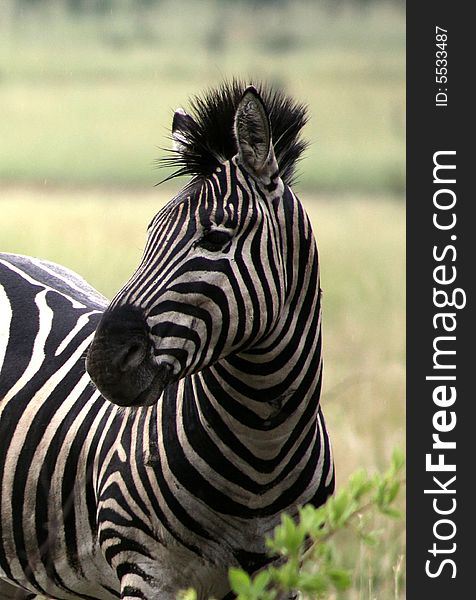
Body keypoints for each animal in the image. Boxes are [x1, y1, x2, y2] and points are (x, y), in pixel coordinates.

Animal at [0, 82, 334, 600]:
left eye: (216, 239)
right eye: (150, 236)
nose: (102, 362)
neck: (263, 448)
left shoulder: (284, 575)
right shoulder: (146, 572)